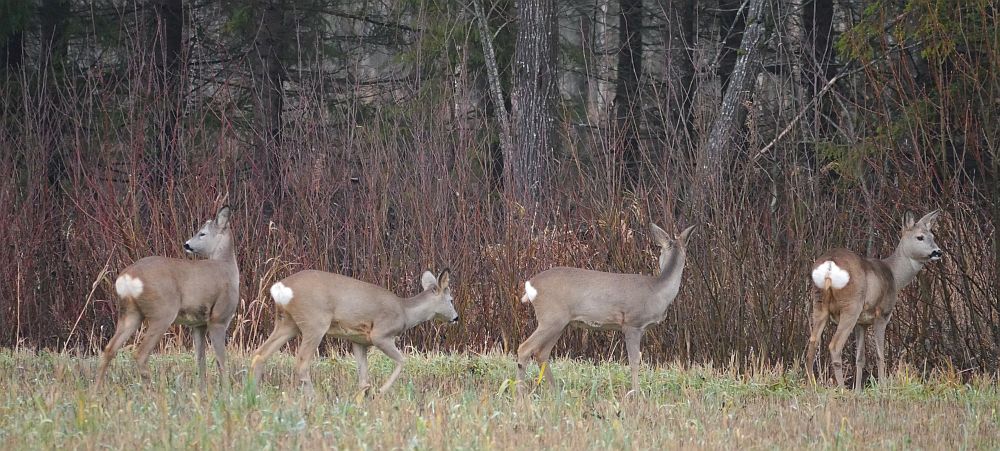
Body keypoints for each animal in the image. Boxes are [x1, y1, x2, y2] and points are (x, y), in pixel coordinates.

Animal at [95, 207, 240, 388]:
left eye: (202, 233)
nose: (187, 244)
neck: (227, 267)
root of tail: (127, 277)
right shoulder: (218, 318)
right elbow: (221, 360)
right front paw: (227, 389)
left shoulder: (198, 324)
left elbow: (200, 359)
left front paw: (202, 389)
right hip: (162, 311)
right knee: (140, 353)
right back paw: (152, 389)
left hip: (130, 313)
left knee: (109, 349)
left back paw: (96, 389)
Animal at [249, 268, 458, 396]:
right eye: (451, 300)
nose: (456, 318)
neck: (405, 312)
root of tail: (281, 289)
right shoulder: (381, 334)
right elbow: (402, 361)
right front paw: (380, 391)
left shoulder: (359, 340)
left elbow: (363, 376)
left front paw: (364, 397)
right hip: (314, 322)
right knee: (301, 363)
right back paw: (313, 399)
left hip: (287, 323)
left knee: (260, 353)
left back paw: (252, 392)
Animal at [516, 224, 696, 394]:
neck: (657, 291)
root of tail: (531, 285)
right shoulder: (632, 323)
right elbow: (634, 361)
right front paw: (636, 394)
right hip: (551, 318)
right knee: (524, 349)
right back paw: (521, 394)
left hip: (560, 323)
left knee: (541, 353)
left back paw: (556, 391)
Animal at [804, 210, 944, 390]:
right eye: (920, 237)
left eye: (932, 235)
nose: (937, 252)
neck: (895, 276)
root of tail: (829, 265)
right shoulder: (882, 314)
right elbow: (880, 354)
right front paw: (882, 386)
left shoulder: (861, 323)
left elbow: (860, 358)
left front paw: (858, 390)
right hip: (851, 305)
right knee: (834, 345)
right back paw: (842, 389)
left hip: (819, 303)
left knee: (812, 343)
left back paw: (811, 385)